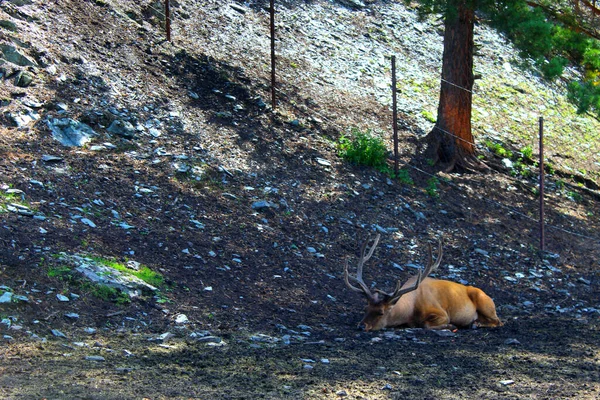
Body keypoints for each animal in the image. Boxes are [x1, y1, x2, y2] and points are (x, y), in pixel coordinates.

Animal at [342, 234, 502, 332]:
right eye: (365, 308)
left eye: (380, 312)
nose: (361, 326)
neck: (410, 310)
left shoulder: (442, 313)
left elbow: (426, 324)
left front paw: (450, 325)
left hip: (485, 302)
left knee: (499, 321)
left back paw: (476, 323)